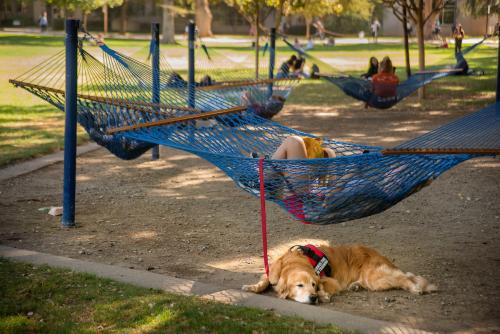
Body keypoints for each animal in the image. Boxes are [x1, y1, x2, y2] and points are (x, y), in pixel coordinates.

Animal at [241, 244, 434, 304]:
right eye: (299, 285)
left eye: (313, 285)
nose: (313, 297)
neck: (293, 261)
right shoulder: (272, 271)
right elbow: (265, 280)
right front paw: (253, 287)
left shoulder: (331, 281)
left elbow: (325, 286)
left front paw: (322, 295)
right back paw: (356, 285)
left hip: (376, 277)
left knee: (404, 278)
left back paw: (416, 288)